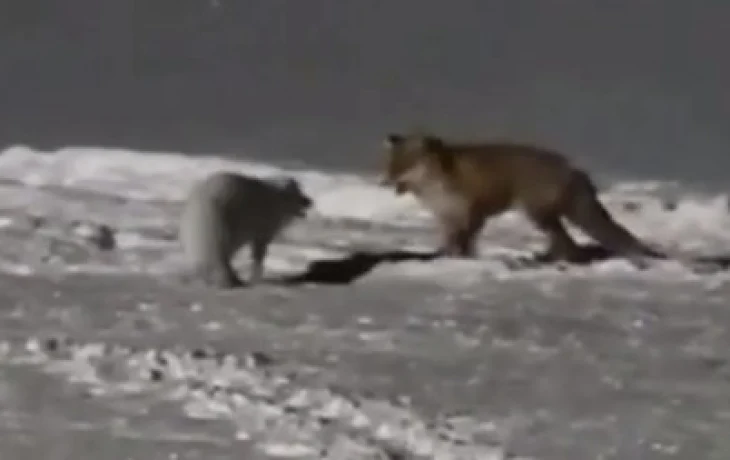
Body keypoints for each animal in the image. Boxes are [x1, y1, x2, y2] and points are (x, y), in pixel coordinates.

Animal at [178, 171, 312, 288]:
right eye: (299, 192)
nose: (310, 201)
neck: (277, 197)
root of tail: (206, 199)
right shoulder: (262, 233)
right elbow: (258, 257)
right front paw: (255, 278)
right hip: (227, 227)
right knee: (221, 255)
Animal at [379, 132, 665, 264]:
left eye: (405, 165)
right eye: (390, 165)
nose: (385, 181)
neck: (436, 184)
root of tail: (572, 167)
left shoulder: (474, 214)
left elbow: (463, 244)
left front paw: (460, 260)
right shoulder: (447, 217)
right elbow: (451, 244)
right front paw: (447, 260)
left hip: (537, 214)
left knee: (569, 245)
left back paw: (552, 261)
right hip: (546, 216)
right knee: (568, 243)